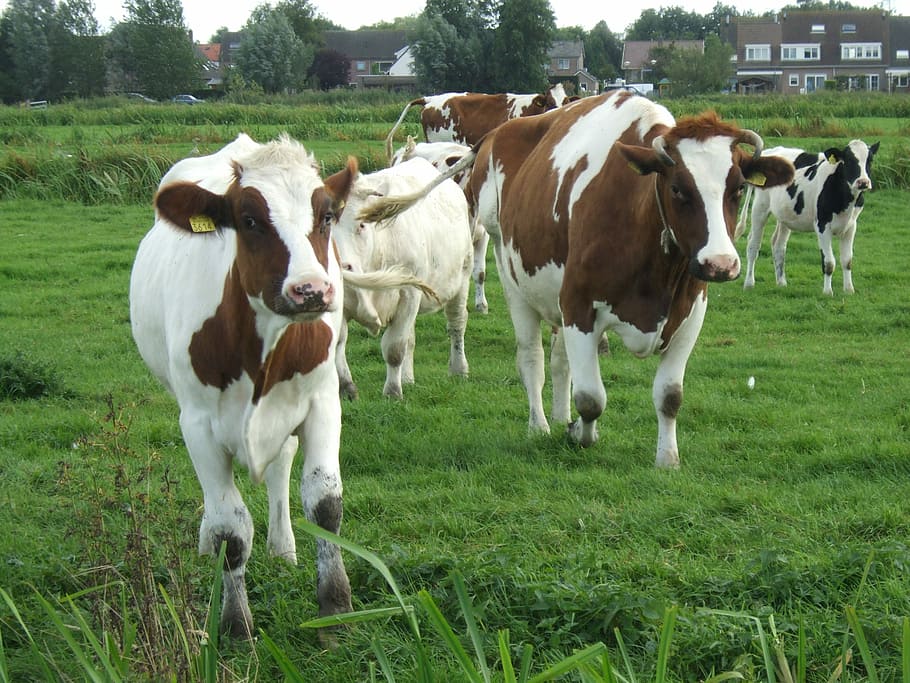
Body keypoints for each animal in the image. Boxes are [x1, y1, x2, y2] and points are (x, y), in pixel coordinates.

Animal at [129, 133, 430, 639]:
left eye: (325, 216)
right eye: (249, 220)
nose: (311, 290)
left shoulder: (323, 404)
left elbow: (325, 503)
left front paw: (336, 609)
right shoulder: (197, 424)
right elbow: (230, 529)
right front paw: (236, 626)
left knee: (281, 465)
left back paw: (283, 547)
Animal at [333, 156, 473, 399]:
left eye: (361, 225)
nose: (342, 266)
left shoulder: (409, 293)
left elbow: (395, 347)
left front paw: (392, 392)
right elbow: (339, 344)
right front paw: (346, 388)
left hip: (462, 277)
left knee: (457, 323)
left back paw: (458, 369)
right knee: (411, 337)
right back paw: (407, 378)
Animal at [361, 91, 794, 468]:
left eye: (737, 189)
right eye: (677, 189)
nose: (720, 264)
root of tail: (500, 132)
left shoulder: (689, 314)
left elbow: (670, 396)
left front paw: (667, 459)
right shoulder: (579, 307)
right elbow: (590, 398)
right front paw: (580, 435)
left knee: (559, 362)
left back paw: (557, 413)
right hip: (510, 270)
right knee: (533, 359)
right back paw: (540, 424)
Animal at [734, 139, 879, 295]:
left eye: (870, 160)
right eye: (848, 160)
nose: (863, 182)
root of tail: (769, 152)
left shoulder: (851, 226)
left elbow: (847, 260)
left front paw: (849, 290)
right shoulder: (822, 225)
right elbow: (829, 262)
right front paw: (827, 292)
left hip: (785, 214)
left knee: (778, 245)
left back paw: (781, 282)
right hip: (760, 207)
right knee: (753, 245)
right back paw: (749, 283)